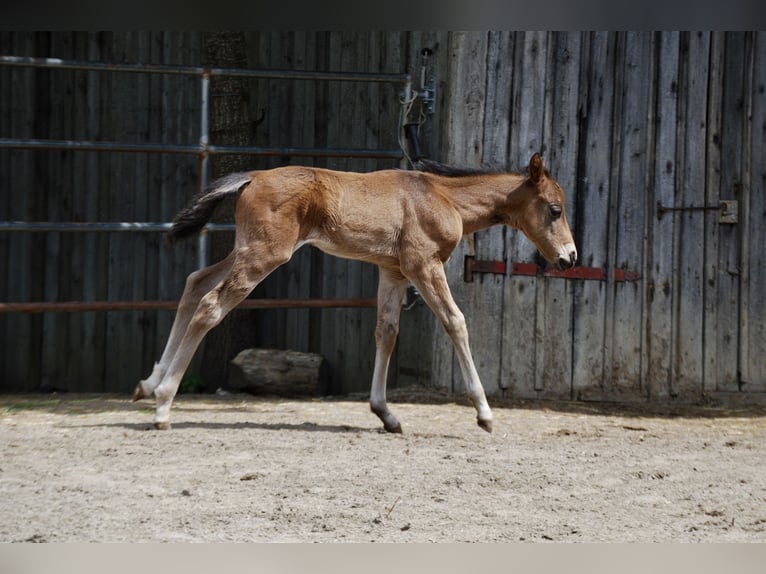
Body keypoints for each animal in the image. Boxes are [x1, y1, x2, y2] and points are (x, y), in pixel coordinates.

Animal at [133, 153, 577, 433]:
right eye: (555, 209)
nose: (570, 257)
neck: (443, 196)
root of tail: (253, 176)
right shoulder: (423, 265)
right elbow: (456, 322)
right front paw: (484, 414)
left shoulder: (392, 270)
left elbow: (386, 331)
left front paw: (386, 415)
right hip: (264, 254)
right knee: (210, 304)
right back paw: (164, 405)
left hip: (250, 250)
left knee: (195, 283)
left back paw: (149, 385)